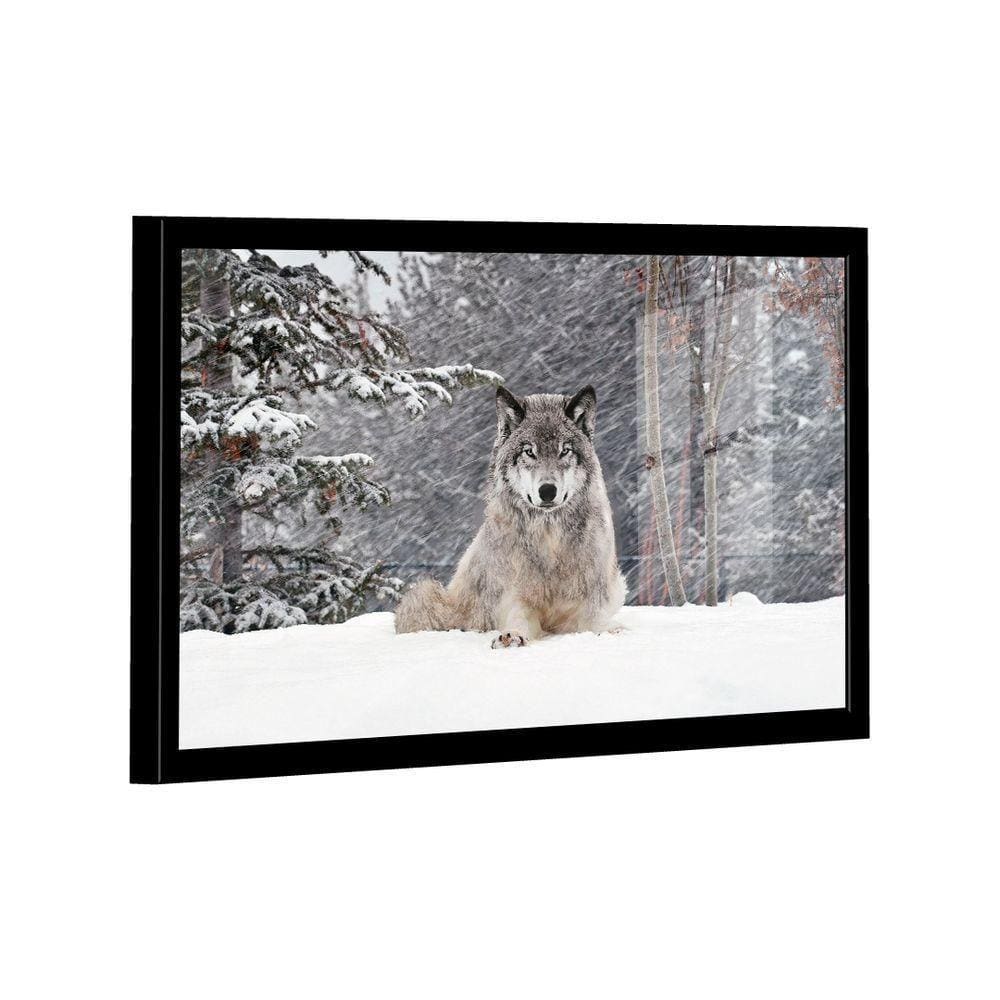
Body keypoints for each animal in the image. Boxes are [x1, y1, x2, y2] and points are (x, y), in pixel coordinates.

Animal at [395, 385, 627, 648]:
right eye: (529, 452)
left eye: (564, 451)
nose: (547, 491)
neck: (550, 539)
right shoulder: (516, 597)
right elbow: (518, 618)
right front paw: (512, 636)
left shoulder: (590, 598)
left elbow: (594, 620)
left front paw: (610, 631)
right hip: (428, 598)